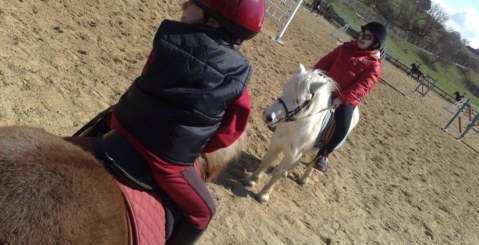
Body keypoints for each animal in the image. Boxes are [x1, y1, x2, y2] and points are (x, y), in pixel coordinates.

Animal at [244, 64, 360, 202]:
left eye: (298, 100)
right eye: (284, 88)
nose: (268, 116)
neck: (295, 125)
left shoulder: (293, 153)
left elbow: (278, 172)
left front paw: (263, 195)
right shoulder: (277, 143)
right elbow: (266, 161)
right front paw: (251, 180)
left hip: (320, 149)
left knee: (314, 160)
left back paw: (304, 179)